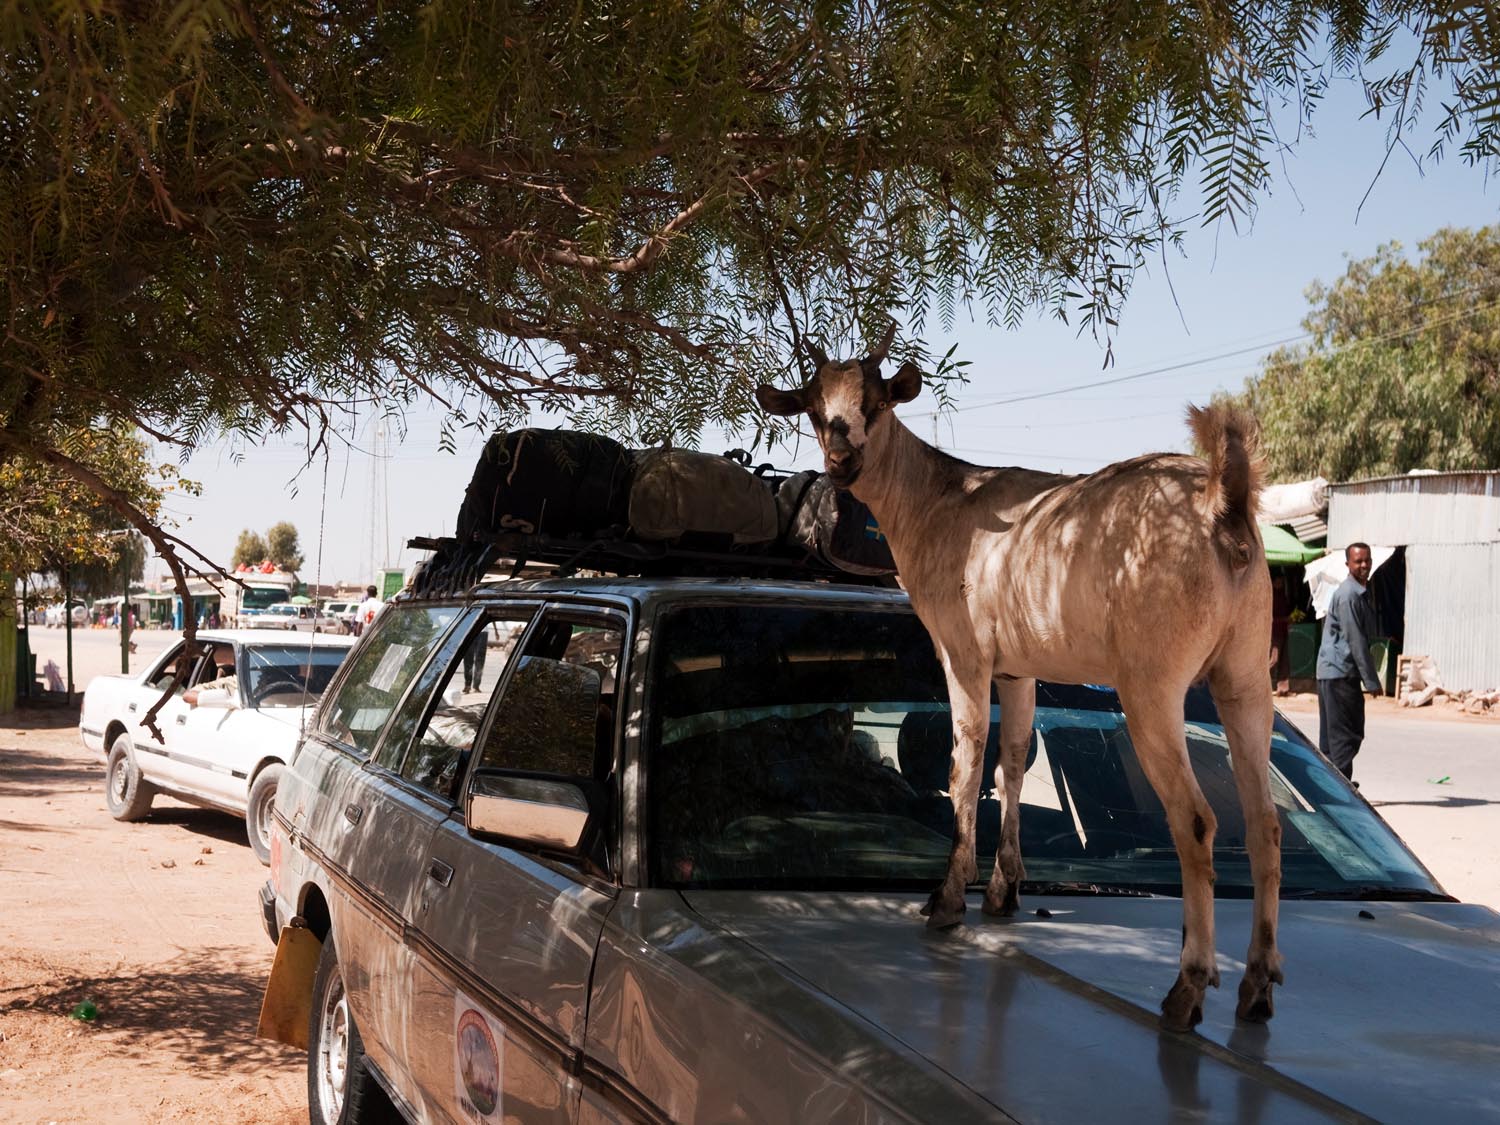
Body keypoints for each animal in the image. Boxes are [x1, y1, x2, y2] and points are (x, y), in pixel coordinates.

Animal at [756, 330, 1284, 1038]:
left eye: (874, 402)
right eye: (813, 408)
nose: (841, 460)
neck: (941, 500)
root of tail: (1220, 501)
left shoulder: (962, 651)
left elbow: (966, 760)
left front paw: (949, 897)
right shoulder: (1017, 665)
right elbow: (1010, 759)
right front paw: (1005, 890)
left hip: (1153, 682)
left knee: (1197, 821)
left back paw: (1188, 987)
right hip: (1247, 675)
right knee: (1264, 823)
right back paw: (1256, 985)